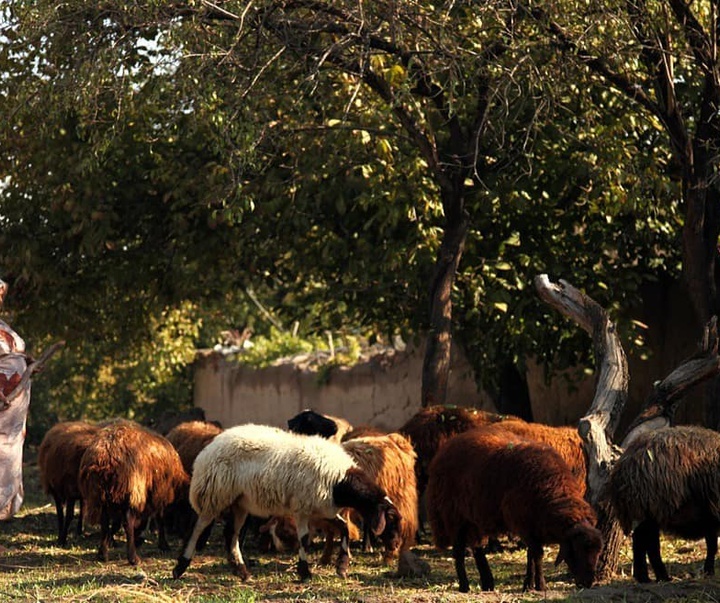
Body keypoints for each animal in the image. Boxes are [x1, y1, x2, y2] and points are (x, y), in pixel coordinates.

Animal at [38, 420, 101, 548]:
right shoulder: (65, 491)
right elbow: (64, 515)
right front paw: (61, 539)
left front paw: (62, 538)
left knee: (81, 509)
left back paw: (78, 532)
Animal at [78, 420, 188, 568]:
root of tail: (104, 457)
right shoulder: (158, 494)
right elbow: (159, 519)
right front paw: (163, 545)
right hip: (130, 490)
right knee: (127, 522)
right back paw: (133, 558)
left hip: (102, 495)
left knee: (104, 522)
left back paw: (103, 554)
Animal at [172, 422, 402, 584]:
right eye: (391, 518)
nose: (396, 545)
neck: (340, 481)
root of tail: (209, 448)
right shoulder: (302, 508)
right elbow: (304, 539)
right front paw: (305, 572)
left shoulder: (321, 509)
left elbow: (343, 527)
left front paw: (342, 566)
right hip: (214, 494)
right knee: (197, 528)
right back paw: (180, 567)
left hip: (240, 503)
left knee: (231, 535)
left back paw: (242, 572)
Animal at [428, 424, 600, 596]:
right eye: (577, 550)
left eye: (598, 553)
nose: (588, 583)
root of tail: (448, 446)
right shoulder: (523, 523)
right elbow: (537, 554)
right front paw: (540, 585)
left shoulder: (534, 526)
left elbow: (531, 555)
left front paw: (528, 585)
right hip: (454, 515)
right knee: (458, 552)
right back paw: (464, 586)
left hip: (474, 517)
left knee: (477, 548)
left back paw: (487, 583)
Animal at [612, 424, 720, 584]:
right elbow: (712, 545)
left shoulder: (710, 516)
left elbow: (712, 544)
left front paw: (709, 571)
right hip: (651, 507)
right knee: (646, 543)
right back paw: (656, 577)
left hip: (648, 512)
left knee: (643, 542)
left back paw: (649, 577)